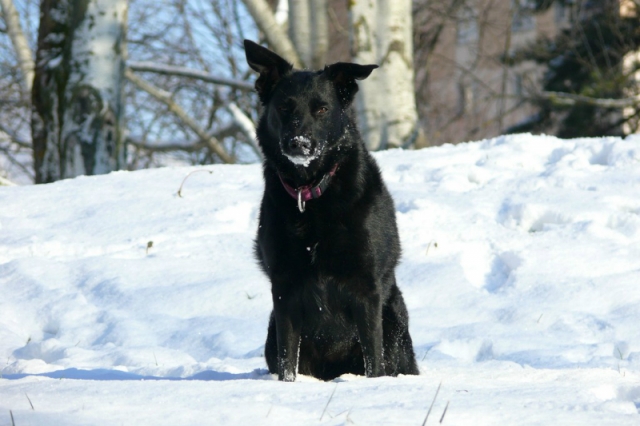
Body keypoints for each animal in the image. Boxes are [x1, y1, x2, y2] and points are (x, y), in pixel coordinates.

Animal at [245, 40, 420, 382]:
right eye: (284, 107)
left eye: (322, 109)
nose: (299, 143)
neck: (311, 193)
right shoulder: (284, 288)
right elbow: (288, 361)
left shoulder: (367, 287)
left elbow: (373, 359)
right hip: (271, 331)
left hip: (394, 316)